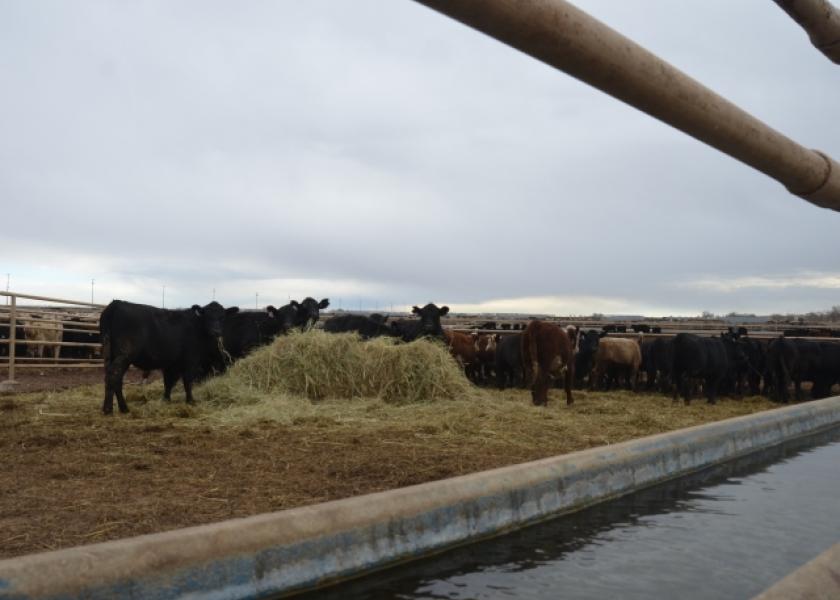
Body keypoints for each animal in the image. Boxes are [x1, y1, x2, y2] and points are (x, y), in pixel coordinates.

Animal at [102, 298, 240, 414]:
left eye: (222, 317)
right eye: (207, 316)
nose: (216, 331)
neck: (198, 327)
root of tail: (117, 303)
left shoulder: (171, 363)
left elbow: (168, 382)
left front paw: (166, 399)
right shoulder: (190, 361)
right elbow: (187, 381)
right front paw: (190, 401)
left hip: (111, 355)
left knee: (114, 378)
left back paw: (120, 408)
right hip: (124, 354)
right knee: (114, 375)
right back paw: (110, 409)